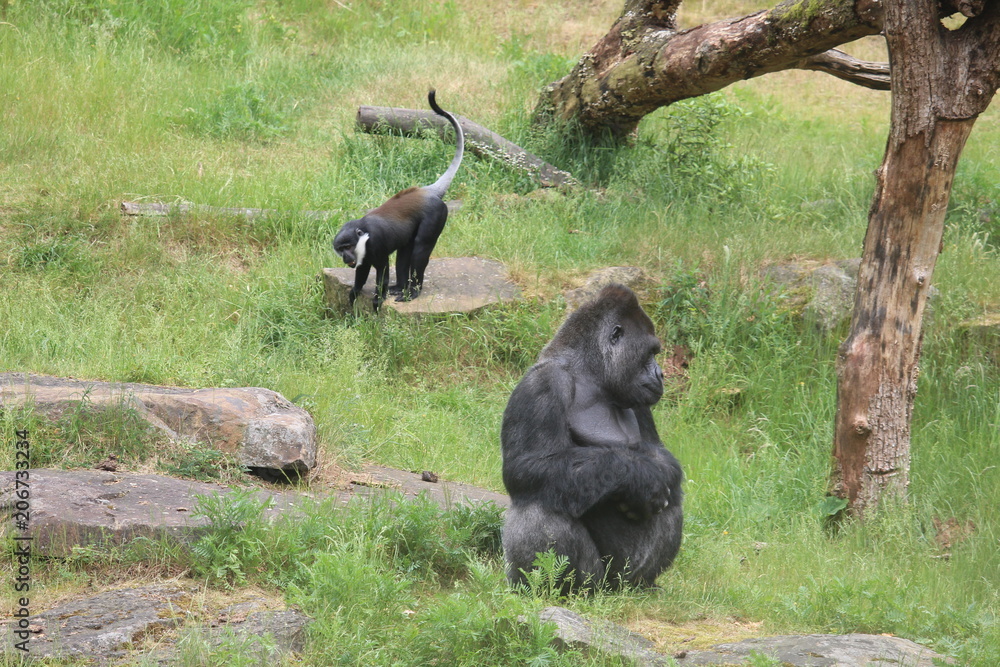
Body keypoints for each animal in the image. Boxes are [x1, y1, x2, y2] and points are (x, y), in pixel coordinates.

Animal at [333, 89, 464, 310]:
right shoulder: (363, 258)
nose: (346, 257)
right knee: (404, 253)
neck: (362, 234)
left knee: (420, 250)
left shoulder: (376, 246)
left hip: (436, 217)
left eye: (348, 247)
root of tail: (427, 191)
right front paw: (354, 292)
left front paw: (378, 300)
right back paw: (400, 286)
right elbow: (362, 272)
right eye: (340, 250)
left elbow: (383, 272)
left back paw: (412, 292)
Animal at [500, 284, 683, 592]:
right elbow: (530, 468)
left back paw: (645, 585)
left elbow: (662, 457)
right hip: (594, 581)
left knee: (674, 497)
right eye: (650, 353)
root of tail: (612, 591)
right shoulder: (543, 384)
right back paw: (557, 589)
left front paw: (652, 472)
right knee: (539, 506)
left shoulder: (638, 398)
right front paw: (641, 476)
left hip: (623, 581)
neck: (591, 374)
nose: (661, 374)